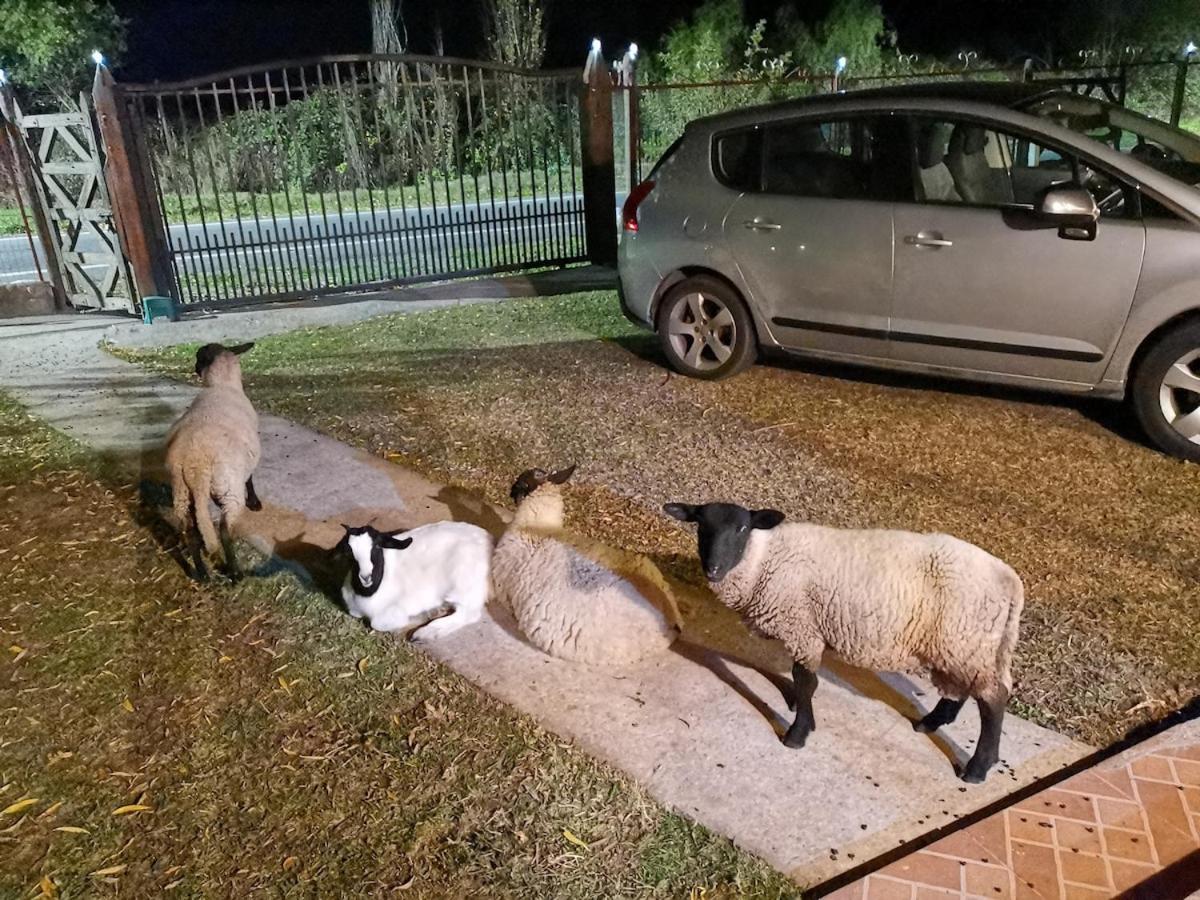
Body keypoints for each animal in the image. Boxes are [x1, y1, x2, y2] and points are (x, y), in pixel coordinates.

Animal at [165, 340, 261, 580]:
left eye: (198, 357)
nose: (193, 367)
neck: (223, 385)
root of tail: (194, 466)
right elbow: (250, 478)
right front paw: (255, 502)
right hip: (228, 488)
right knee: (225, 531)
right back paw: (235, 573)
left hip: (181, 493)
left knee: (190, 530)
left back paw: (201, 575)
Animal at [338, 520, 492, 643]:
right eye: (348, 551)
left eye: (377, 547)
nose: (366, 577)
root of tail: (489, 541)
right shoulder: (353, 609)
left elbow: (377, 624)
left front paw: (421, 616)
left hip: (463, 583)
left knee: (469, 613)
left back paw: (424, 633)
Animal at [667, 504, 1022, 787]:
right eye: (701, 525)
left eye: (742, 528)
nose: (713, 569)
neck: (762, 559)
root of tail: (1010, 579)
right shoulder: (805, 630)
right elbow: (800, 681)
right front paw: (797, 709)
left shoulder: (803, 629)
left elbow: (806, 680)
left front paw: (798, 733)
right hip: (961, 644)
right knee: (963, 688)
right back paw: (930, 723)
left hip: (966, 637)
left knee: (993, 698)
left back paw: (977, 768)